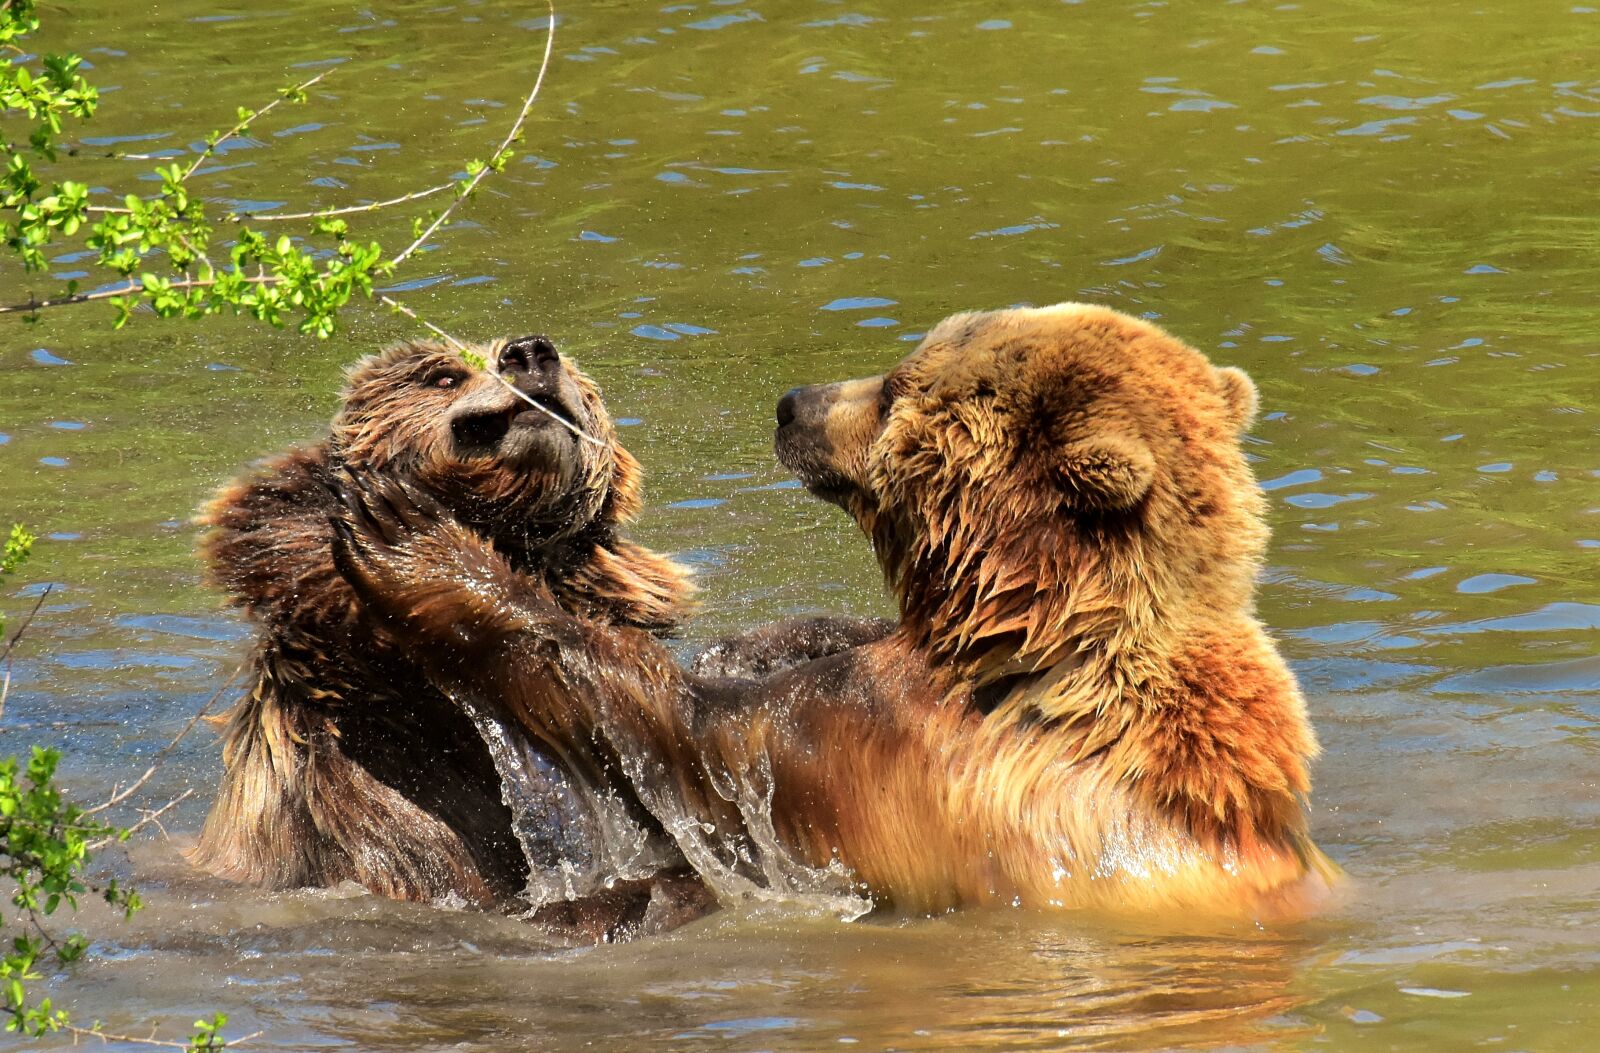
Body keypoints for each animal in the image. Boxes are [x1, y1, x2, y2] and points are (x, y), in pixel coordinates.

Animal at [328, 303, 1339, 923]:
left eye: (894, 387)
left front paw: (411, 538)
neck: (1020, 626)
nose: (791, 403)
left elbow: (679, 731)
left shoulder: (884, 746)